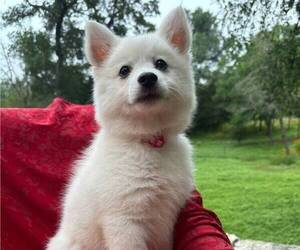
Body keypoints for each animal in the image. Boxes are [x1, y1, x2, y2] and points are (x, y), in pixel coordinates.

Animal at [47, 5, 197, 250]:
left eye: (161, 64)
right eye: (124, 71)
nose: (147, 78)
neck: (148, 140)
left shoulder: (166, 218)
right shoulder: (124, 220)